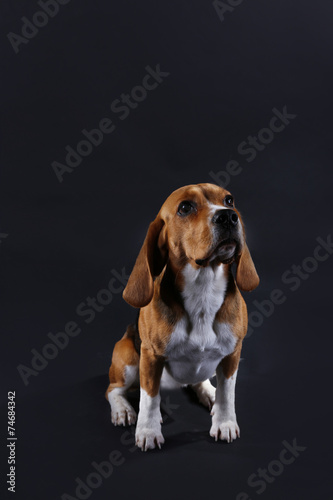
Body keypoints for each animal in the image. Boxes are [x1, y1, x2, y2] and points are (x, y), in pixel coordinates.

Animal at [105, 183, 258, 450]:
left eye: (229, 200)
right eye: (185, 207)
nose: (228, 216)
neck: (203, 290)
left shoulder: (233, 354)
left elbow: (227, 394)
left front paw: (225, 422)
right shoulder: (150, 356)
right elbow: (149, 398)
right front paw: (148, 430)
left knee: (199, 381)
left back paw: (208, 392)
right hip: (127, 358)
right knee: (114, 390)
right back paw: (123, 410)